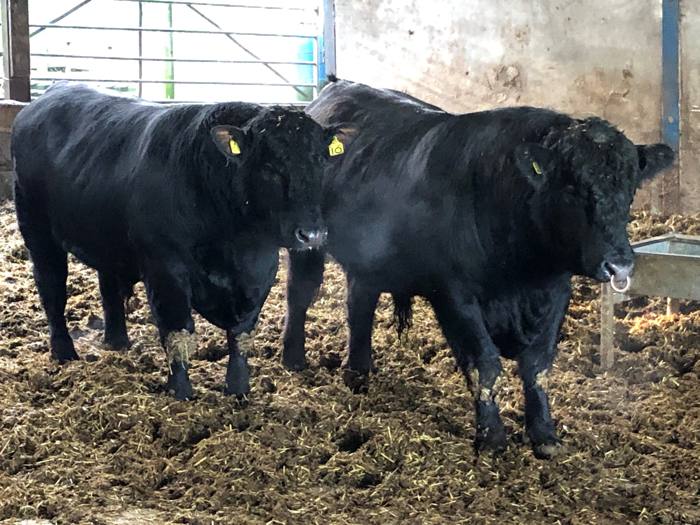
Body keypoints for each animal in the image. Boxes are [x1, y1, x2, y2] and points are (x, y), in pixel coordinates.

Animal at [12, 82, 345, 400]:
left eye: (321, 162)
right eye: (269, 168)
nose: (312, 234)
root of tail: (44, 99)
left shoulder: (260, 271)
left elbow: (241, 334)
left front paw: (238, 390)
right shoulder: (165, 269)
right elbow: (178, 332)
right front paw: (181, 391)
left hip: (106, 238)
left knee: (108, 287)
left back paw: (117, 341)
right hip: (38, 233)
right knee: (51, 289)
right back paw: (64, 351)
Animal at [282, 78, 674, 458]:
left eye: (630, 189)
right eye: (572, 188)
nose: (618, 264)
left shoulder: (556, 291)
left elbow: (538, 365)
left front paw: (544, 433)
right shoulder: (455, 295)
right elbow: (484, 364)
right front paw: (492, 436)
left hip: (369, 258)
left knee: (359, 304)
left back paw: (359, 372)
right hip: (307, 240)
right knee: (300, 296)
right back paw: (294, 359)